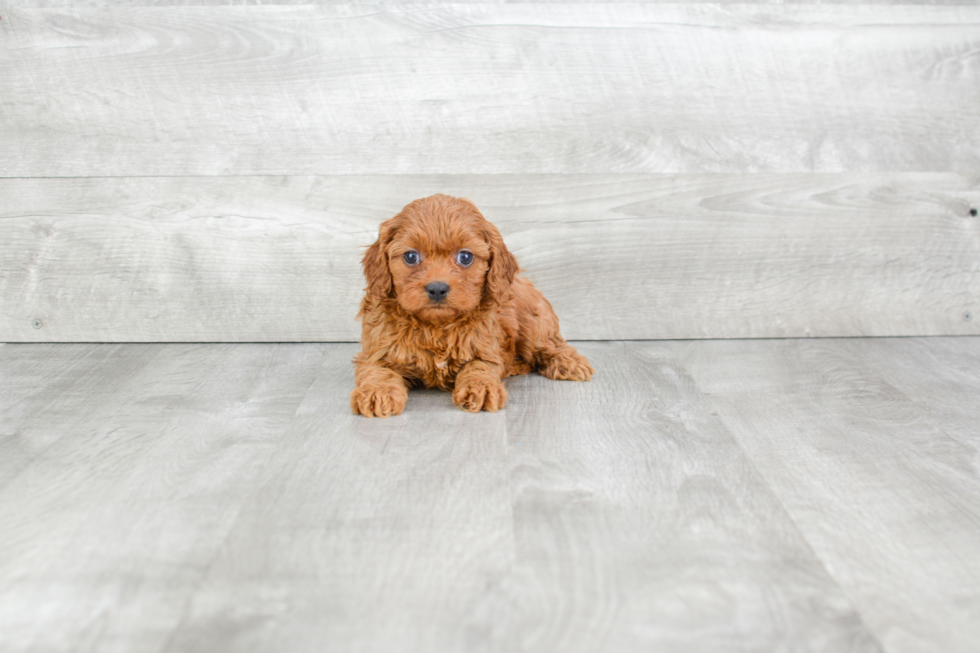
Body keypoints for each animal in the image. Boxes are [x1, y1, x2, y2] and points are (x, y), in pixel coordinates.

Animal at [354, 194, 592, 418]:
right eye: (411, 256)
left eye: (465, 257)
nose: (437, 288)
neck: (435, 327)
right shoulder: (377, 351)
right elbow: (377, 371)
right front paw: (377, 392)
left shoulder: (485, 348)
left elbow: (480, 367)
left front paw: (482, 389)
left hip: (535, 325)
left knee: (551, 345)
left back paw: (569, 363)